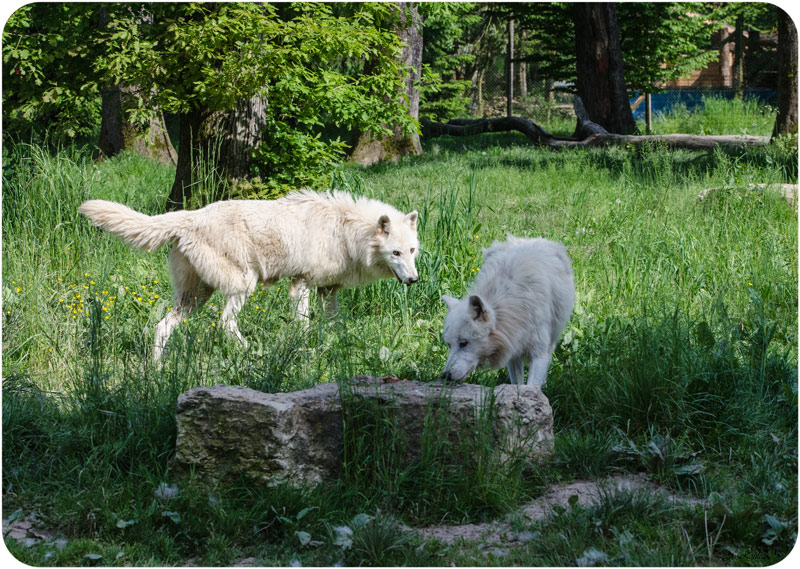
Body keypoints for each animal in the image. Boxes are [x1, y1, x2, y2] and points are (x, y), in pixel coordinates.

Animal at [78, 190, 422, 360]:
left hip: (194, 299)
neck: (346, 230)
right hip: (243, 286)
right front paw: (302, 349)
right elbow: (302, 324)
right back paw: (255, 352)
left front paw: (338, 343)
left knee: (162, 327)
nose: (414, 281)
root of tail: (190, 216)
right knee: (225, 325)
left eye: (412, 251)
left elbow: (333, 324)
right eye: (395, 253)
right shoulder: (301, 284)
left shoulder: (329, 290)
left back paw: (157, 369)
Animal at [440, 235, 572, 386]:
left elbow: (531, 386)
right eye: (449, 345)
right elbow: (518, 385)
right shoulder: (512, 350)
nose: (445, 376)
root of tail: (530, 239)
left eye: (464, 343)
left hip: (552, 339)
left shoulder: (538, 355)